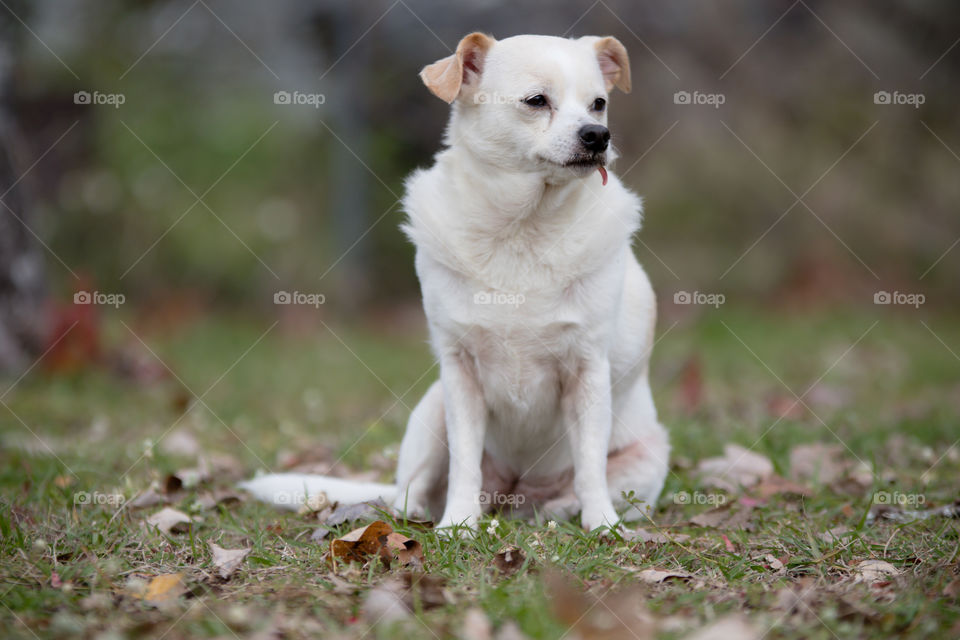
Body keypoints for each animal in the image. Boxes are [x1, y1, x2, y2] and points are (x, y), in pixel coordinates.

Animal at [244, 32, 672, 532]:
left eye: (599, 104)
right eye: (536, 101)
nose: (598, 135)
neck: (523, 227)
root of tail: (515, 495)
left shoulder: (587, 371)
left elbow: (589, 463)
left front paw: (602, 524)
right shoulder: (461, 375)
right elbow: (465, 462)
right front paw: (459, 525)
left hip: (648, 459)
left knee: (578, 488)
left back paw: (561, 510)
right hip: (431, 415)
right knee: (411, 494)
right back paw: (424, 516)